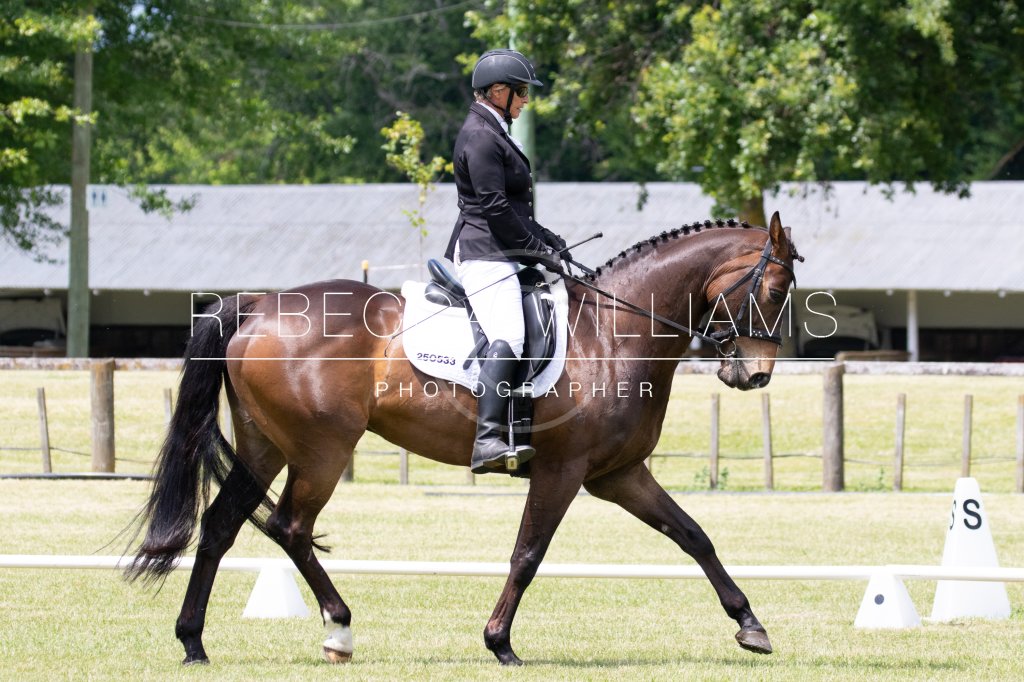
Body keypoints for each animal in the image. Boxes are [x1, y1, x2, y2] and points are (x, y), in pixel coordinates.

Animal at [127, 211, 801, 666]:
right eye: (772, 291)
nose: (756, 374)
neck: (613, 333)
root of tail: (258, 305)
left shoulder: (620, 474)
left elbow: (694, 536)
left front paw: (750, 625)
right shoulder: (563, 469)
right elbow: (528, 554)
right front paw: (499, 642)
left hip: (266, 447)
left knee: (220, 526)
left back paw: (193, 642)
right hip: (322, 451)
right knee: (289, 527)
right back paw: (339, 631)